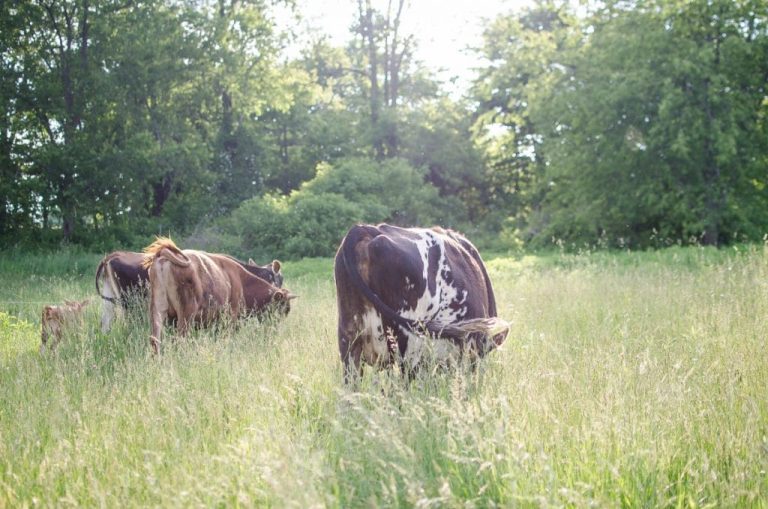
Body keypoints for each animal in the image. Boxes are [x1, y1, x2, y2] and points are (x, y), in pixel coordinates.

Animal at [143, 237, 295, 354]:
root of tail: (164, 256)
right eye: (284, 309)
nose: (275, 329)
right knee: (180, 339)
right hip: (186, 314)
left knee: (155, 340)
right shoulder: (231, 319)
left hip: (157, 310)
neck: (241, 279)